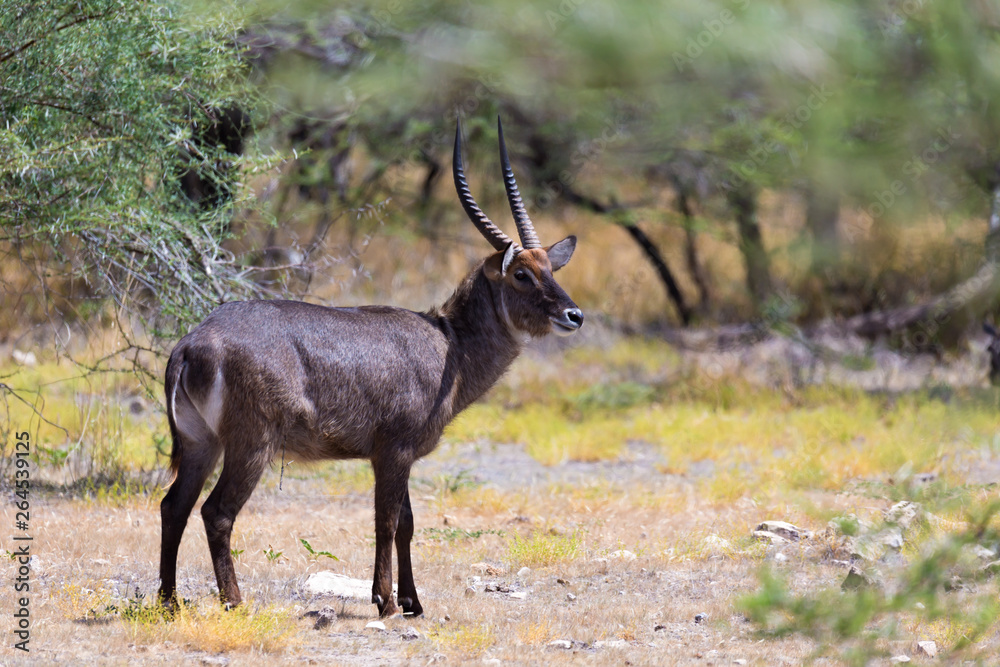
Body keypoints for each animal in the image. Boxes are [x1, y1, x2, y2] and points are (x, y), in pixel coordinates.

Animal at [158, 117, 584, 620]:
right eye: (521, 274)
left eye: (551, 269)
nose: (575, 315)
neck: (449, 343)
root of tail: (192, 342)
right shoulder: (392, 451)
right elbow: (387, 521)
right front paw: (386, 601)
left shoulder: (403, 454)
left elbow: (408, 522)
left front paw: (413, 600)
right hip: (250, 445)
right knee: (216, 512)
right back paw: (234, 601)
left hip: (200, 443)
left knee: (173, 506)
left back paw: (168, 602)